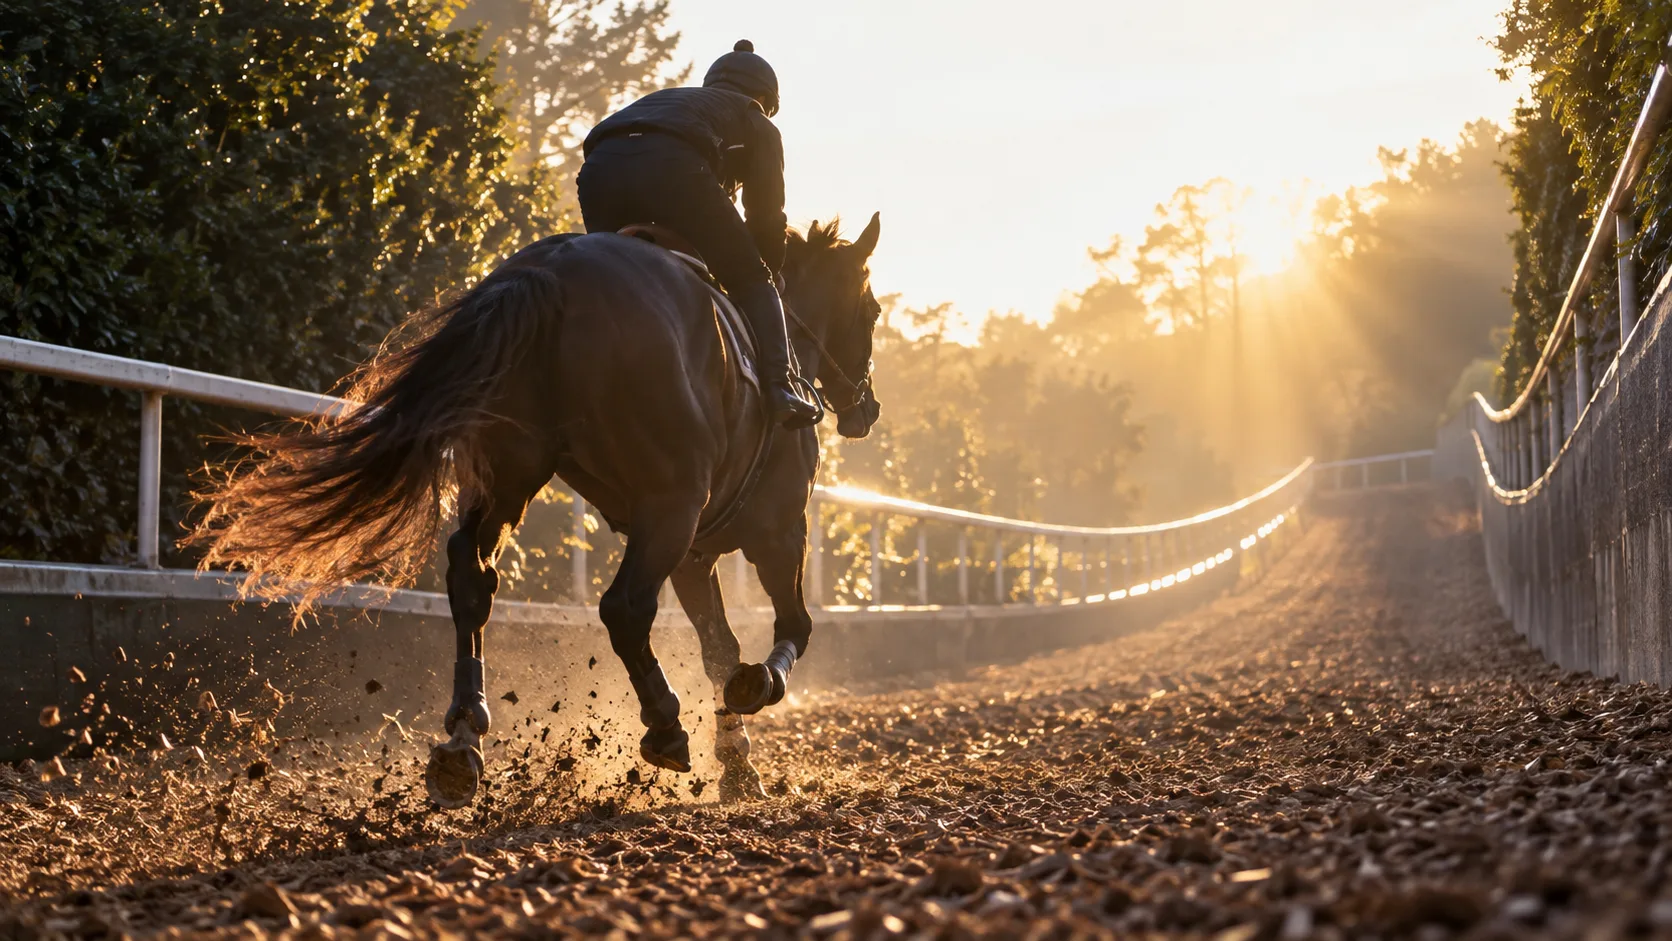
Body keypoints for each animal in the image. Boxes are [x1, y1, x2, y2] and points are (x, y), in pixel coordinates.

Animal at [189, 215, 884, 806]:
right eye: (873, 309)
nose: (867, 407)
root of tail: (549, 272)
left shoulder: (695, 554)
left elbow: (718, 646)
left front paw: (738, 765)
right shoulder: (774, 532)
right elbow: (791, 628)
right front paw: (754, 692)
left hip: (510, 476)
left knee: (471, 578)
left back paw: (463, 739)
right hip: (668, 502)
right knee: (623, 607)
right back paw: (662, 725)